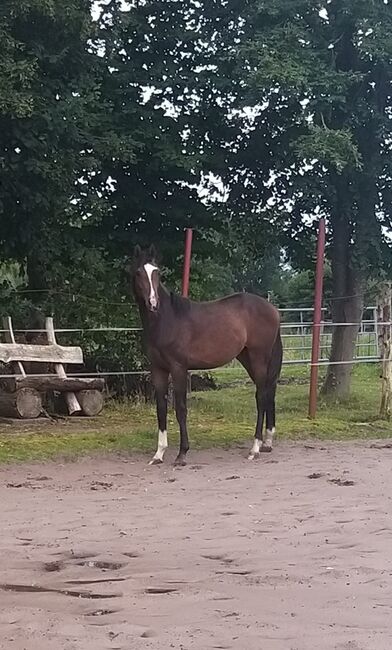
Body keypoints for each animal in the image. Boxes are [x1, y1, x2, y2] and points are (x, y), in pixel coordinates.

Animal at [132, 244, 282, 466]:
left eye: (157, 272)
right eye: (138, 272)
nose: (153, 303)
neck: (166, 319)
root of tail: (273, 309)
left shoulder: (178, 368)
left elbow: (181, 409)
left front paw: (182, 454)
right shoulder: (158, 369)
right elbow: (161, 408)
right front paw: (158, 454)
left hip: (258, 358)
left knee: (261, 397)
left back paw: (254, 448)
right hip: (247, 358)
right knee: (268, 392)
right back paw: (267, 443)